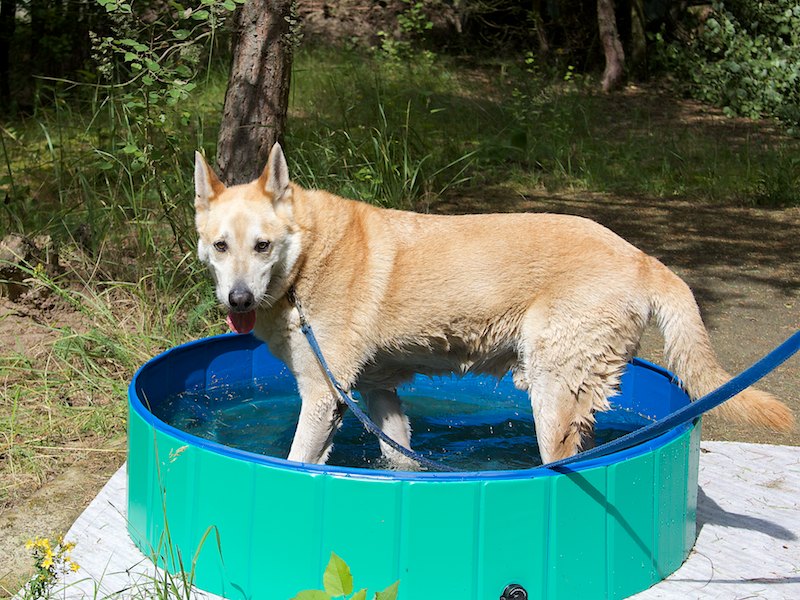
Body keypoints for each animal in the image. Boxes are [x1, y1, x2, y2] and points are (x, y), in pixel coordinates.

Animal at [193, 143, 793, 467]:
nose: (238, 298)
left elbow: (298, 462)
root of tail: (641, 256)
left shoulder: (323, 396)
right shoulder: (377, 393)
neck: (307, 257)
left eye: (262, 246)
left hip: (551, 396)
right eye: (221, 246)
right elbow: (400, 459)